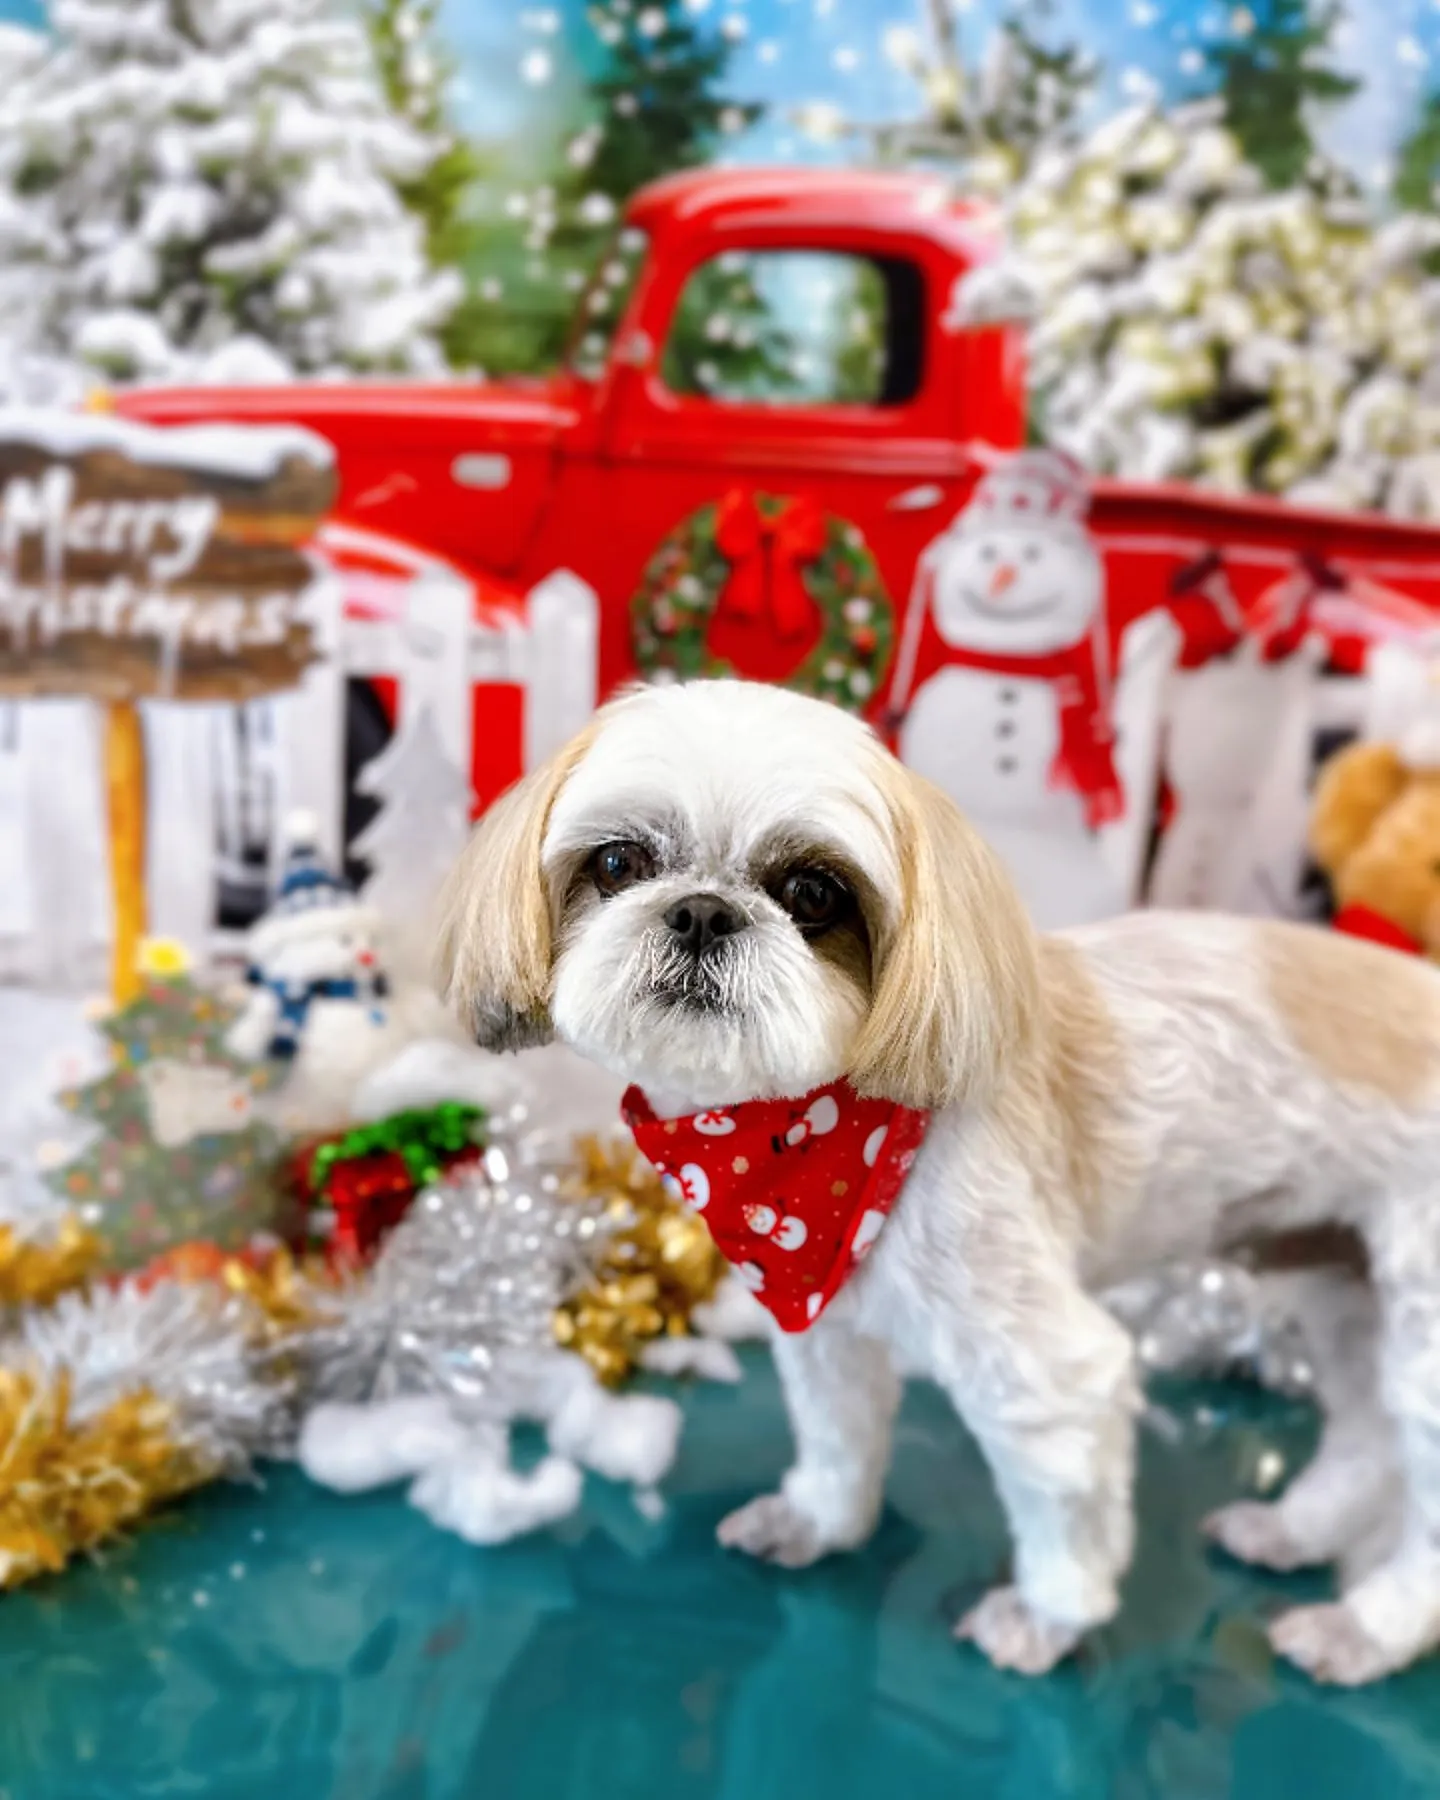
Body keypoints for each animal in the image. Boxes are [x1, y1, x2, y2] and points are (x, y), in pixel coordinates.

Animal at [433, 676, 1440, 1684]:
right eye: (618, 861)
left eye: (812, 891)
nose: (702, 912)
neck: (801, 1148)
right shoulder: (826, 1320)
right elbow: (839, 1435)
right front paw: (819, 1520)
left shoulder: (1045, 1362)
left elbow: (1065, 1501)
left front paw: (1047, 1619)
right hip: (1335, 1276)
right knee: (1367, 1438)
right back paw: (1298, 1530)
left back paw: (1367, 1627)